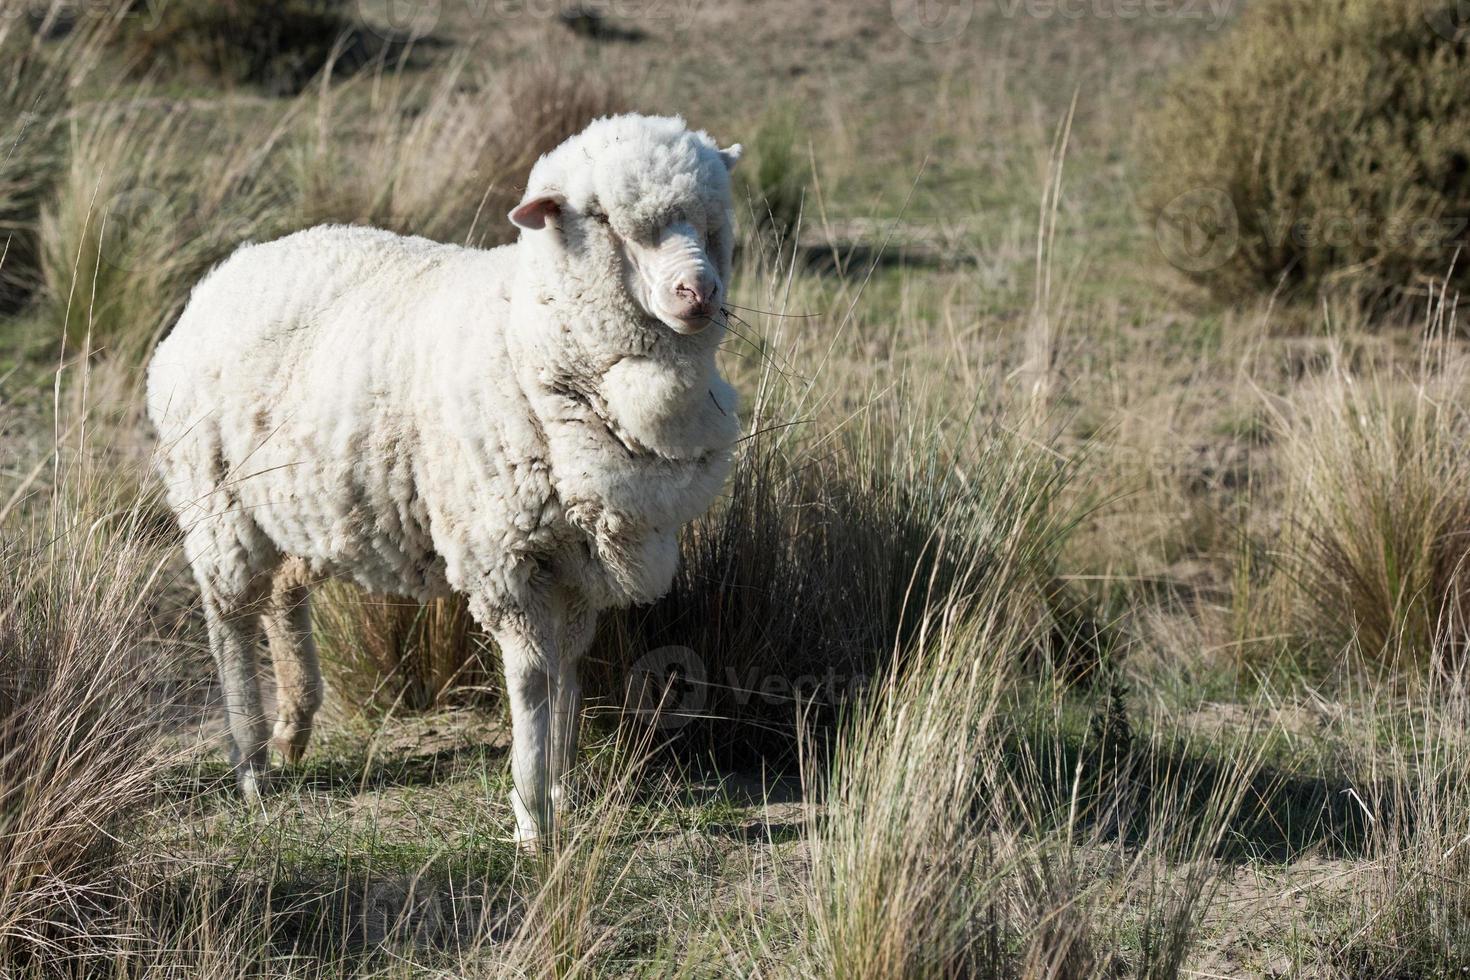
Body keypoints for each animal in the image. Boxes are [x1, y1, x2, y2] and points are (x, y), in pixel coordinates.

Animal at [147, 115, 740, 846]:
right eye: (602, 217)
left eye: (714, 218)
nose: (699, 293)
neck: (528, 332)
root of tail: (226, 272)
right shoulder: (506, 556)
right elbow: (533, 679)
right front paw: (532, 814)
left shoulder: (579, 560)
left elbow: (569, 668)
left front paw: (563, 786)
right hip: (217, 503)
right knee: (230, 617)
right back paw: (251, 761)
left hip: (295, 506)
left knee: (284, 595)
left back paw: (292, 729)